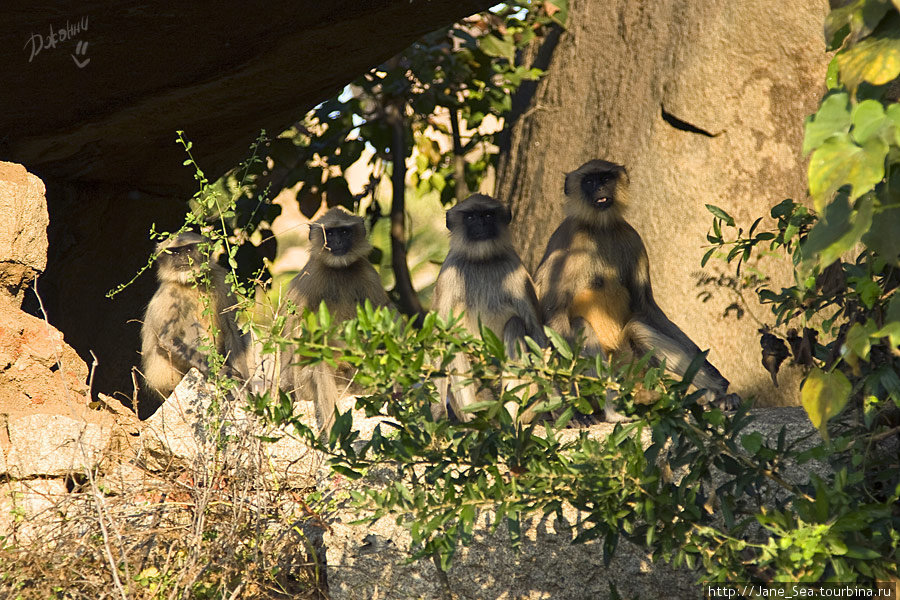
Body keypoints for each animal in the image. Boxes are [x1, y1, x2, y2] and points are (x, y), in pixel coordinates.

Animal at [141, 232, 248, 400]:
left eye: (189, 249)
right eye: (175, 252)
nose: (182, 258)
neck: (193, 283)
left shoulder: (221, 279)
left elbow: (231, 329)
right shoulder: (169, 293)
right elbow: (166, 339)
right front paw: (222, 373)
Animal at [282, 206, 390, 436]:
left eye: (345, 232)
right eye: (330, 233)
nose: (338, 242)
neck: (339, 269)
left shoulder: (368, 272)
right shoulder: (311, 274)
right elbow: (290, 324)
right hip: (305, 382)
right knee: (318, 365)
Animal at [430, 192, 548, 422]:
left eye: (488, 215)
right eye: (470, 217)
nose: (481, 224)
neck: (482, 260)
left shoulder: (516, 272)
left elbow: (537, 333)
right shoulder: (449, 273)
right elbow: (441, 338)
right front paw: (437, 413)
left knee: (515, 324)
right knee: (452, 339)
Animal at [536, 158, 740, 418]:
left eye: (606, 178)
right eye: (589, 181)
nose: (599, 189)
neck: (599, 229)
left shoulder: (632, 237)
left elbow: (645, 306)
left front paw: (718, 381)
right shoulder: (568, 242)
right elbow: (555, 313)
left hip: (637, 368)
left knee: (638, 328)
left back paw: (717, 398)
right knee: (581, 325)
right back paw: (612, 411)